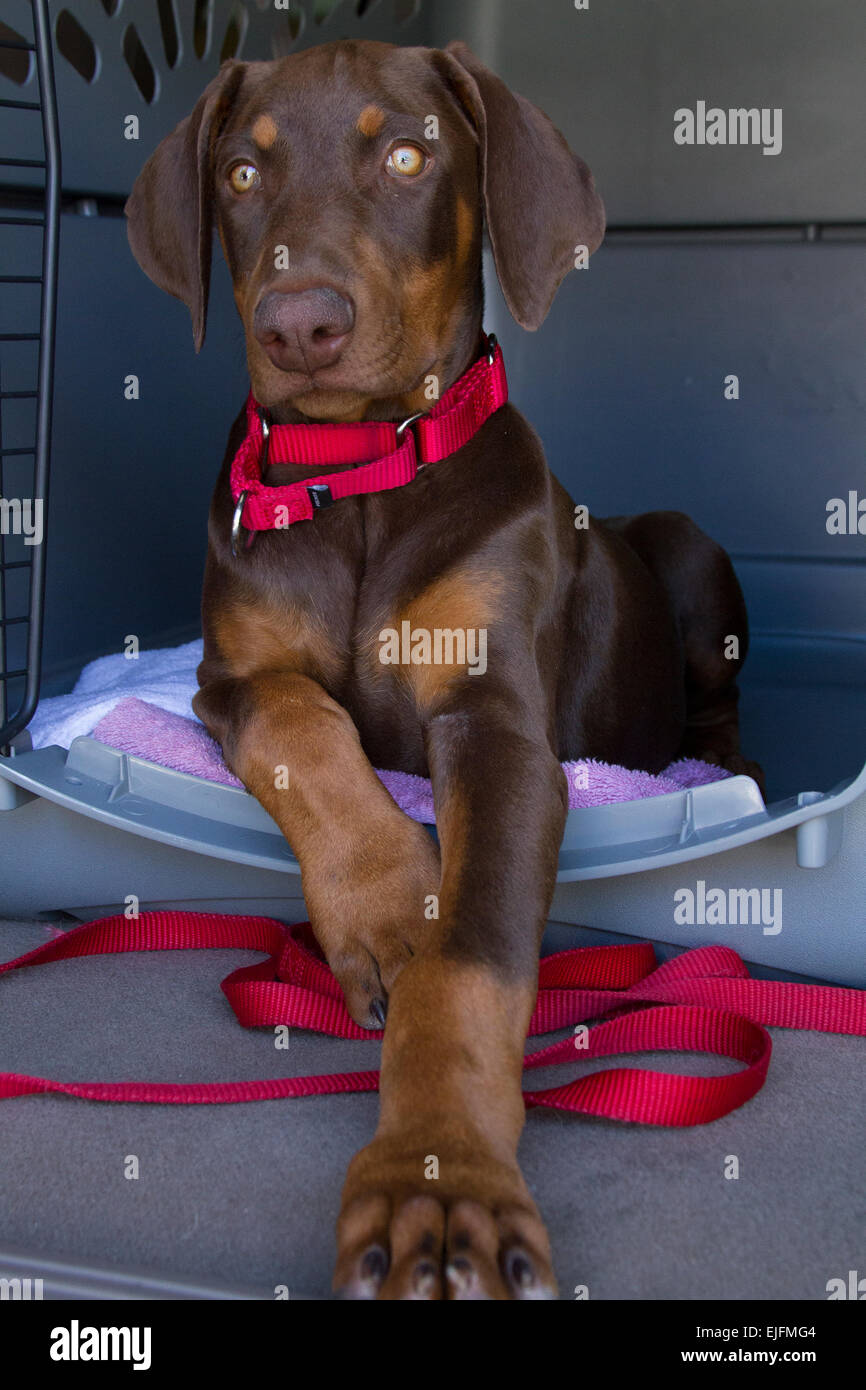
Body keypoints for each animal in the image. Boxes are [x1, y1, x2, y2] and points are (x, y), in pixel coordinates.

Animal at [125, 43, 761, 1301]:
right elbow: (297, 725)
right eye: (238, 173)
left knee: (715, 699)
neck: (360, 471)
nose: (299, 324)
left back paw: (712, 763)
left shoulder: (494, 722)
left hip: (684, 549)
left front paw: (437, 1177)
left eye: (410, 156)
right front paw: (384, 908)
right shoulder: (226, 674)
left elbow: (466, 963)